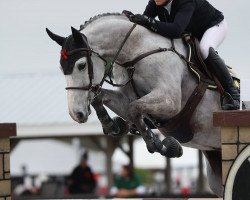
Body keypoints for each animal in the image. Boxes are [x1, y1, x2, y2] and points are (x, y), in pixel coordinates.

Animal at [47, 14, 223, 197]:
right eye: (62, 69)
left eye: (81, 65)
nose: (76, 114)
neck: (137, 52)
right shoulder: (126, 99)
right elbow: (102, 99)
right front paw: (113, 126)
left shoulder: (170, 101)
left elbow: (134, 109)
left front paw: (161, 145)